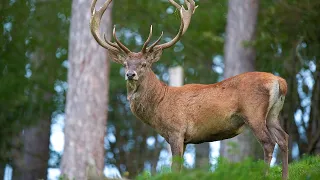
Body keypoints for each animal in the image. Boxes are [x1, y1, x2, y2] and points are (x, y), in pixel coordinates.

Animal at [89, 0, 288, 179]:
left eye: (144, 64)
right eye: (125, 64)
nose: (130, 74)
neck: (160, 104)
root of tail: (280, 81)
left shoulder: (176, 131)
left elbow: (175, 168)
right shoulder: (183, 139)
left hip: (253, 113)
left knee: (268, 142)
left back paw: (265, 175)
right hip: (272, 114)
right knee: (284, 138)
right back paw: (285, 176)